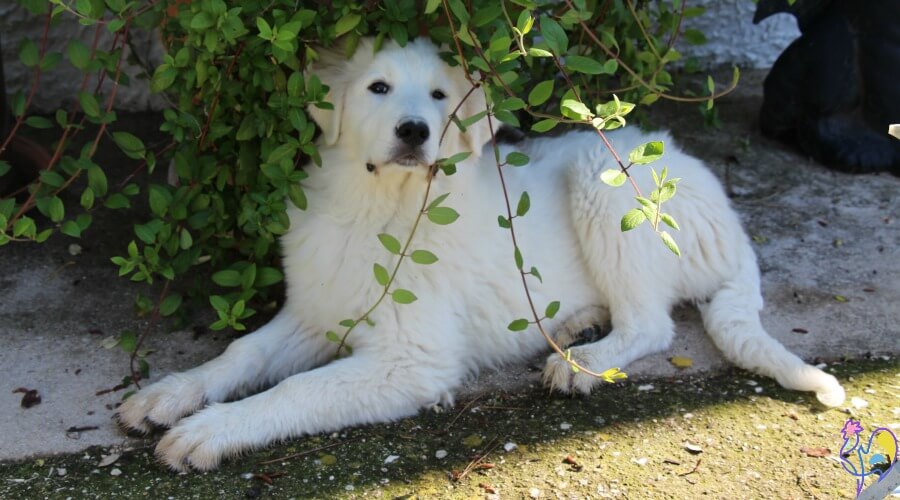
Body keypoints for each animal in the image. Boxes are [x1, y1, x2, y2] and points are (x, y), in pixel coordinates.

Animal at [118, 38, 844, 468]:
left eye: (440, 97)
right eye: (378, 88)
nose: (416, 131)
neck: (379, 206)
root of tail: (726, 211)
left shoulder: (412, 362)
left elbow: (295, 390)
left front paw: (212, 431)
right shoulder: (318, 312)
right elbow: (241, 353)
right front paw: (170, 395)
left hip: (604, 178)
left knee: (651, 323)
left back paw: (585, 362)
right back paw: (570, 325)